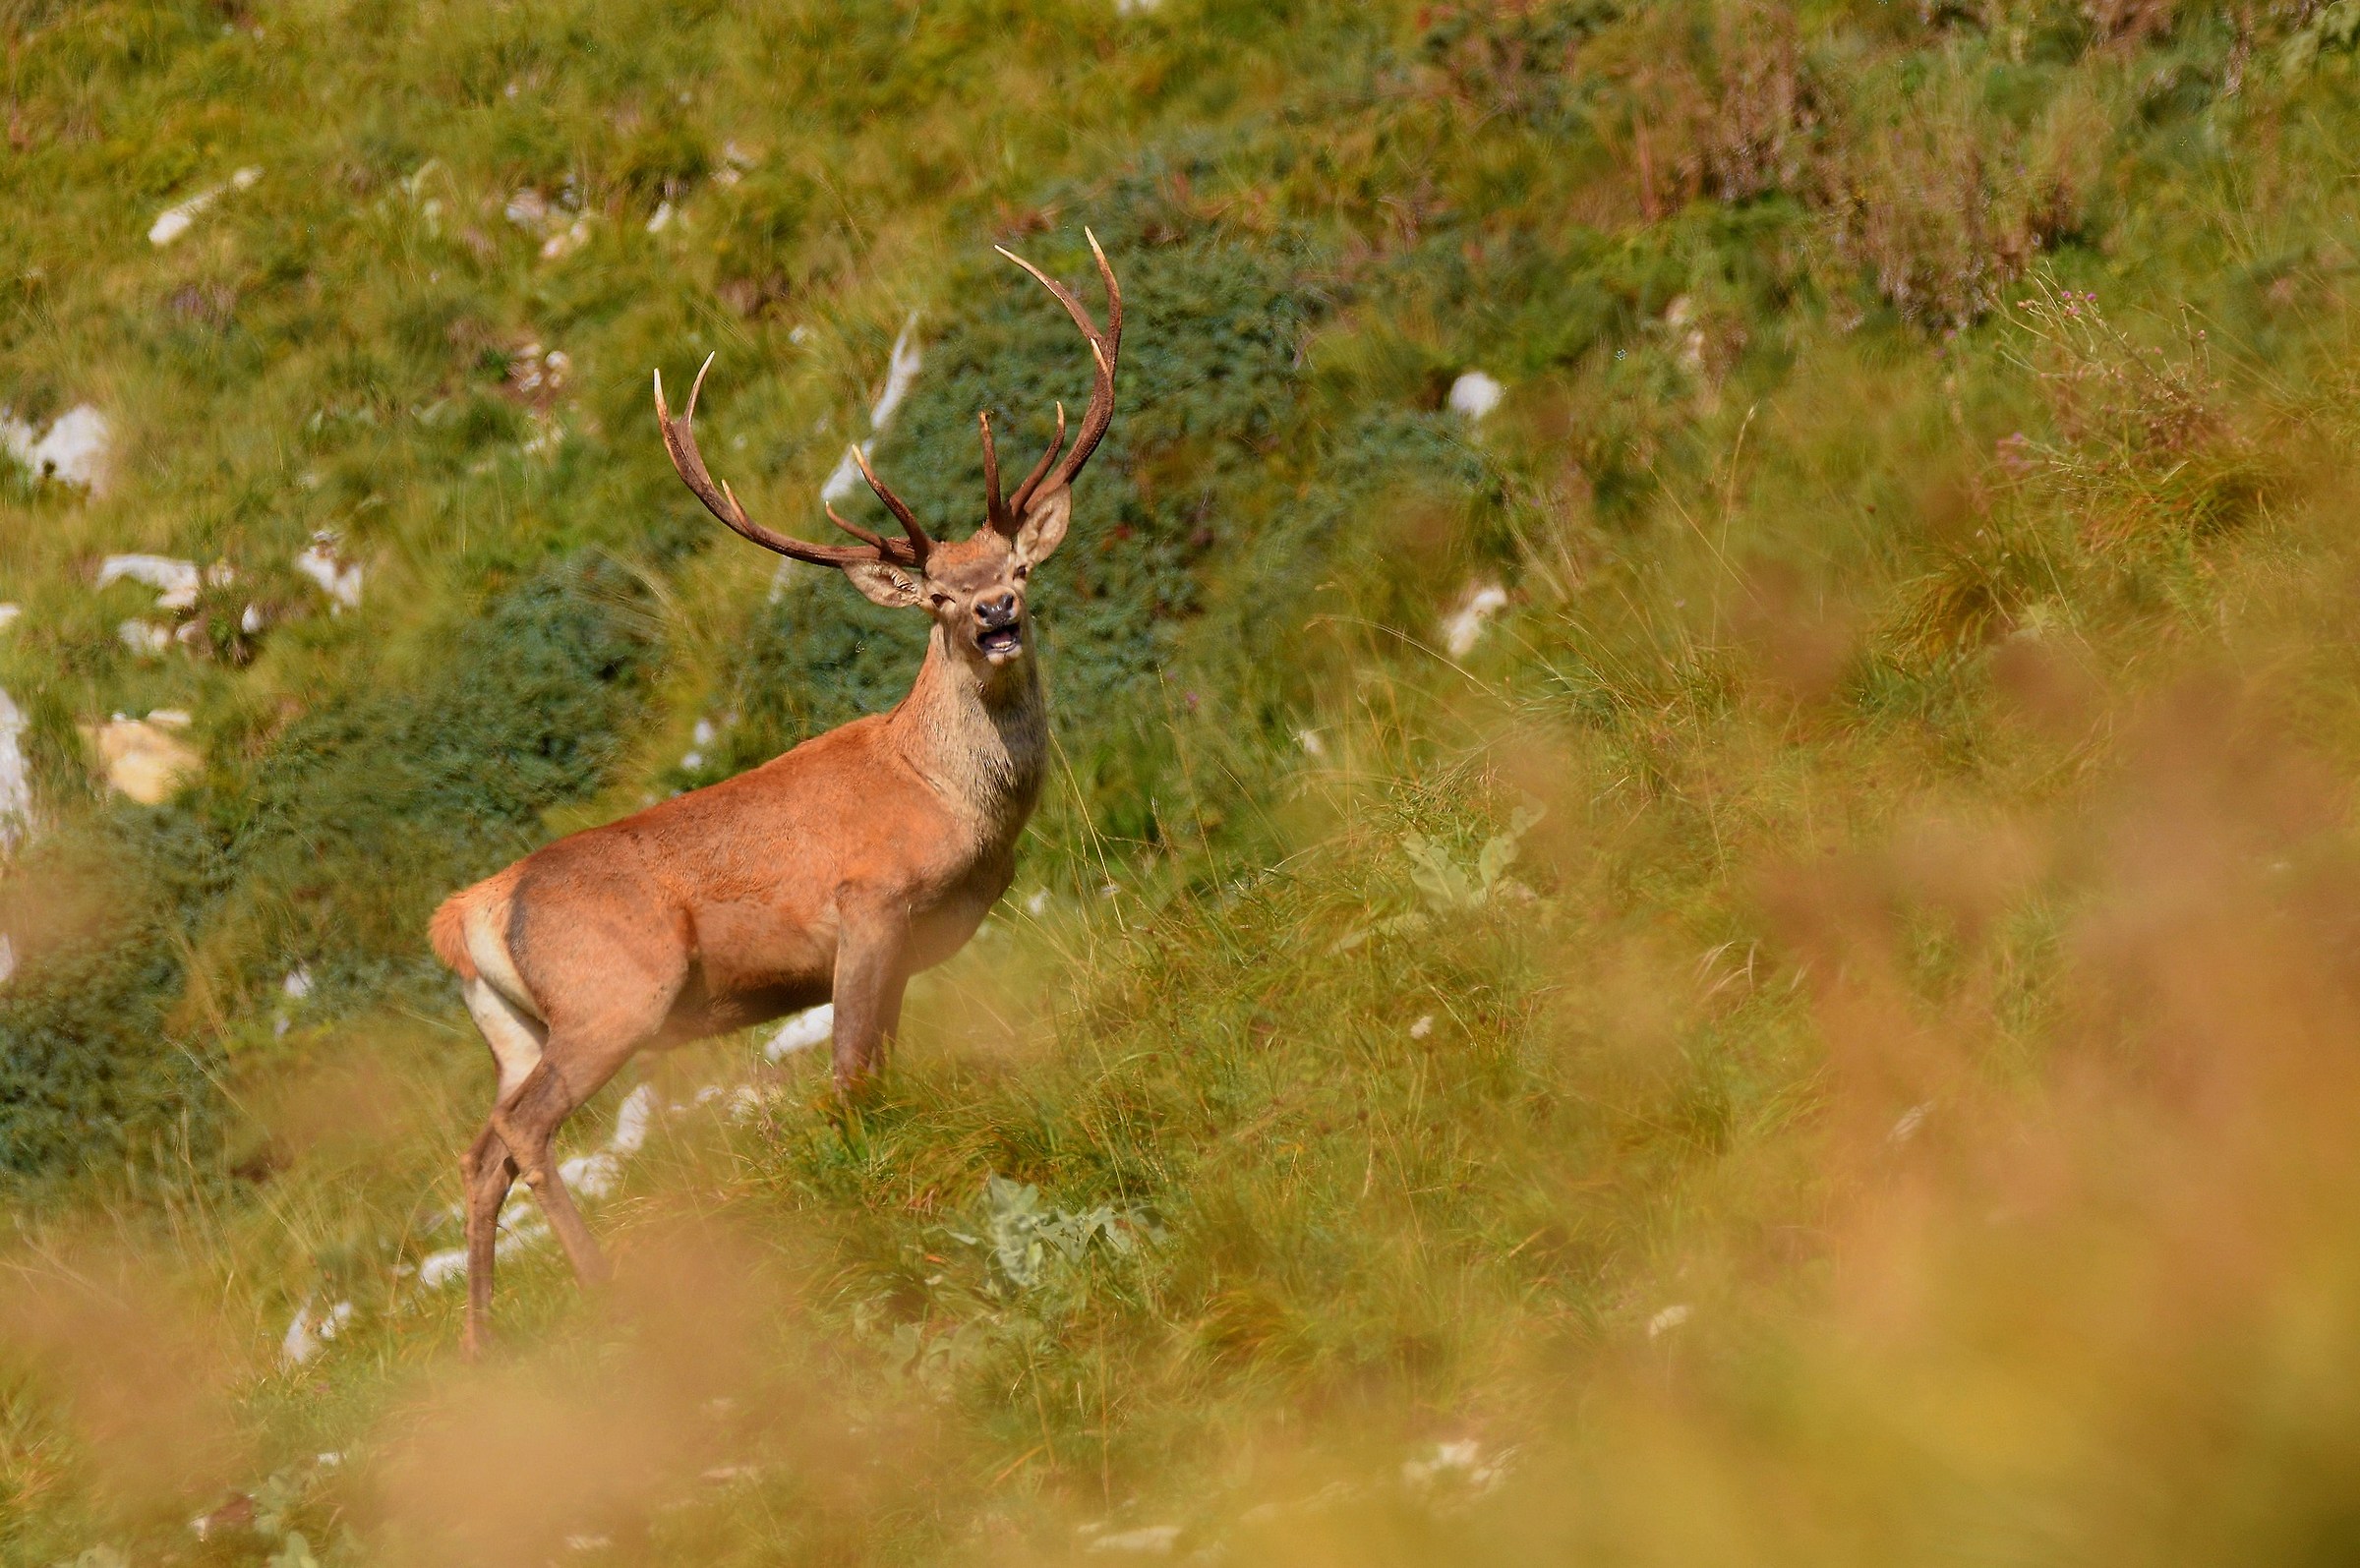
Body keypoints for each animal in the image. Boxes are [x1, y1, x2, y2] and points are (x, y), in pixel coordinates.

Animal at [427, 235, 1120, 1355]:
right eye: (938, 595)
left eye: (1018, 565)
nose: (995, 613)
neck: (945, 798)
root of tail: (466, 912)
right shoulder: (867, 905)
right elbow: (846, 1073)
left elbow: (882, 1064)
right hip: (613, 995)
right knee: (525, 1133)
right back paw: (604, 1286)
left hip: (509, 1028)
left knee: (481, 1148)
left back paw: (483, 1342)